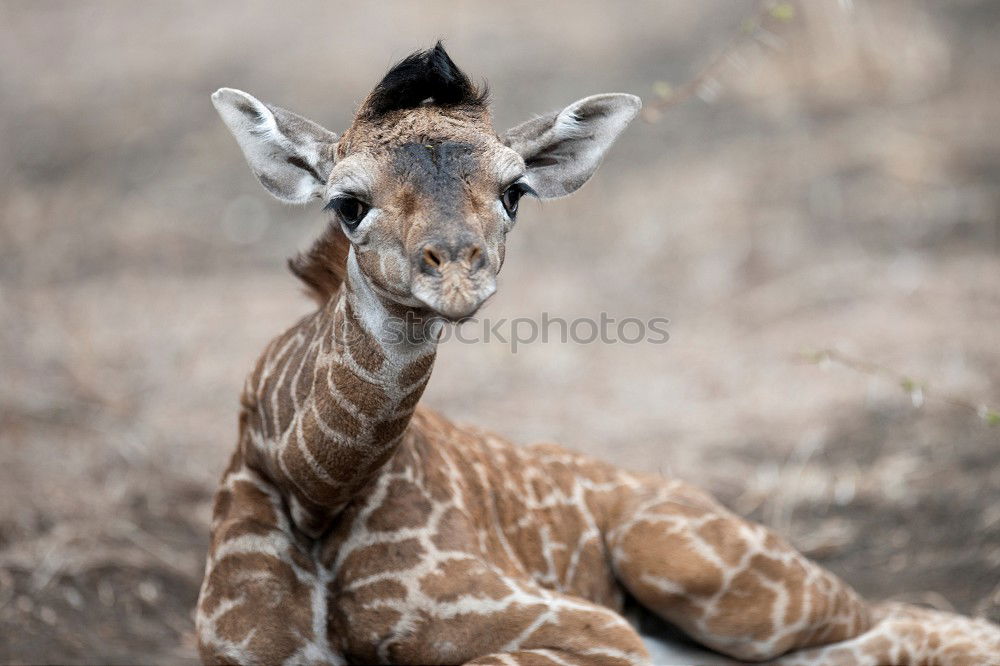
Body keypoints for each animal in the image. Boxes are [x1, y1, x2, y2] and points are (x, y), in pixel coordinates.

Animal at [195, 44, 1000, 660]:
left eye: (514, 191)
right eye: (347, 202)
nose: (456, 273)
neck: (314, 488)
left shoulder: (593, 628)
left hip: (704, 572)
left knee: (894, 619)